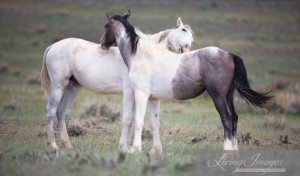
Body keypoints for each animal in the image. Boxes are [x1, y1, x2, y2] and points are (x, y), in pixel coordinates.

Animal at [39, 15, 193, 150]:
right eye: (183, 30)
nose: (188, 47)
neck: (141, 55)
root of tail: (52, 47)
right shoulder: (130, 92)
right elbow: (128, 119)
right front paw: (126, 147)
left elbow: (133, 120)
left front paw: (129, 146)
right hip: (59, 86)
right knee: (50, 111)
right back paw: (52, 145)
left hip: (73, 87)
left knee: (61, 111)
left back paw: (67, 145)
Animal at [102, 10, 274, 154]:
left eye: (106, 26)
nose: (103, 44)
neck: (141, 56)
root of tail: (230, 55)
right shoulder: (153, 98)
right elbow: (154, 123)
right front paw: (154, 151)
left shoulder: (140, 94)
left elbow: (137, 120)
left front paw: (134, 149)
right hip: (228, 95)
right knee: (234, 118)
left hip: (218, 95)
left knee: (226, 118)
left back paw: (226, 150)